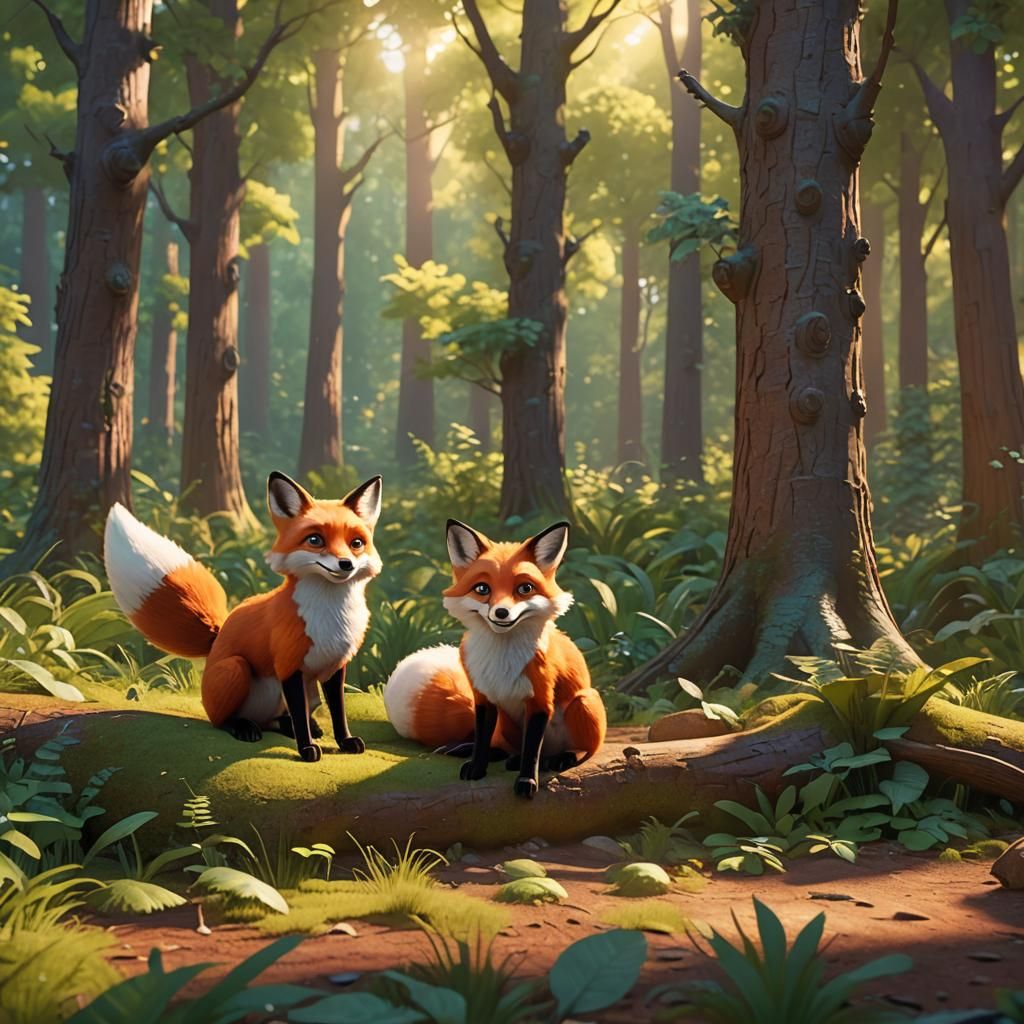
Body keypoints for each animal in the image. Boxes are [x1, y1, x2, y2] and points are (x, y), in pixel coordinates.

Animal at [103, 472, 383, 763]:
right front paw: (306, 749)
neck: (330, 615)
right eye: (315, 540)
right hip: (236, 669)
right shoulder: (288, 666)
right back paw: (243, 727)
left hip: (300, 692)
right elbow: (300, 717)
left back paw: (292, 726)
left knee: (278, 720)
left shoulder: (334, 667)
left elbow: (338, 712)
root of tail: (217, 635)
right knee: (221, 720)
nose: (346, 564)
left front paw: (345, 741)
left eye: (356, 543)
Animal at [384, 519, 606, 799]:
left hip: (583, 702)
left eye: (525, 588)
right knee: (506, 748)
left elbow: (532, 753)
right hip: (506, 718)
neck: (502, 657)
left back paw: (560, 757)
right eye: (482, 589)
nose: (501, 612)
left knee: (579, 750)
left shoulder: (540, 700)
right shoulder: (483, 697)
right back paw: (490, 753)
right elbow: (482, 739)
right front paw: (477, 768)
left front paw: (527, 781)